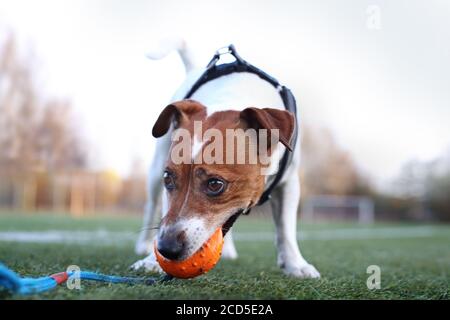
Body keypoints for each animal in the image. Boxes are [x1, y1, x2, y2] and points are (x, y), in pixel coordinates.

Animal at [131, 39, 320, 278]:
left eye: (215, 184)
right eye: (169, 179)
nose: (167, 248)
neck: (234, 97)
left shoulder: (289, 183)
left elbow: (286, 228)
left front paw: (296, 264)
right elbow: (165, 212)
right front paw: (152, 261)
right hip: (155, 170)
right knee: (151, 206)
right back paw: (143, 245)